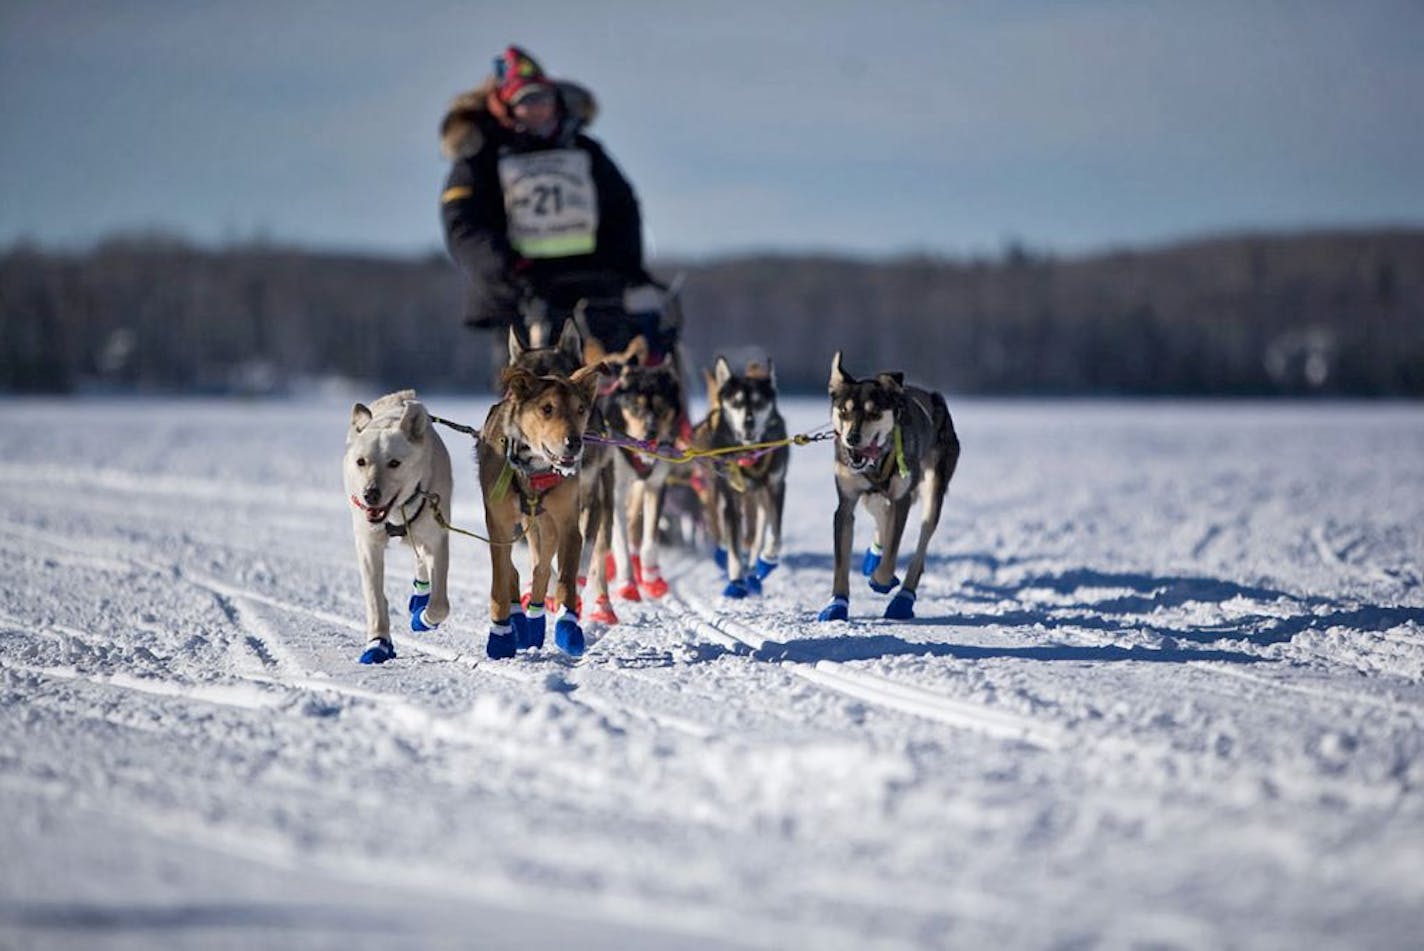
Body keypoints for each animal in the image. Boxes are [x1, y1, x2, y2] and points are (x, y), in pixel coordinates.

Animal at [340, 390, 447, 666]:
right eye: (361, 461)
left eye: (394, 463)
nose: (370, 494)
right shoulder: (368, 544)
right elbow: (374, 598)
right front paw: (378, 643)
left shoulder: (437, 538)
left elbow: (439, 605)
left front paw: (423, 619)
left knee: (421, 563)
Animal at [478, 360, 606, 657]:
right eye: (547, 408)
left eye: (580, 409)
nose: (574, 442)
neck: (533, 470)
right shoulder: (498, 526)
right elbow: (500, 581)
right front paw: (500, 635)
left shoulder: (568, 524)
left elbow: (565, 579)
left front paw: (568, 627)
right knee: (512, 571)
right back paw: (517, 619)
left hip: (545, 527)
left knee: (542, 569)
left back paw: (534, 623)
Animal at [820, 351, 962, 623]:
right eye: (844, 411)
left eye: (874, 413)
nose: (851, 438)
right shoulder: (846, 505)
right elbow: (841, 564)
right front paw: (837, 605)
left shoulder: (901, 499)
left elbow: (891, 556)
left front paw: (881, 580)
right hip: (872, 496)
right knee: (879, 512)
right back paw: (872, 556)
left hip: (933, 491)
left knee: (920, 549)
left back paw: (903, 600)